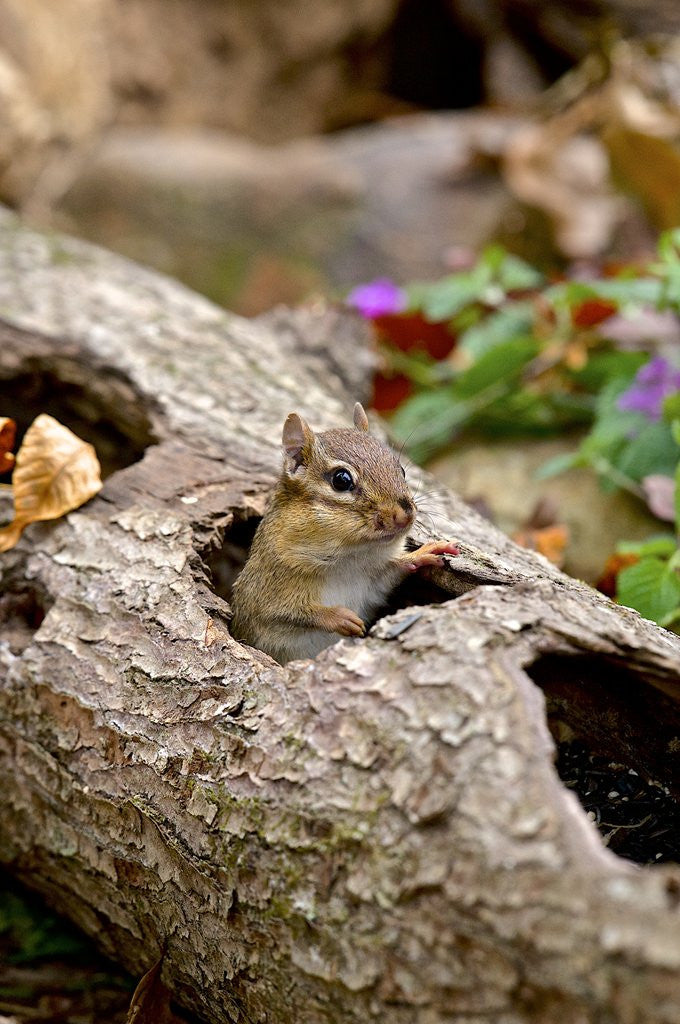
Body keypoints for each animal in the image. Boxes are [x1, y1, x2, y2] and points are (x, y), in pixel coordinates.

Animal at [229, 403, 459, 664]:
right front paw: (339, 617)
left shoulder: (372, 583)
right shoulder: (265, 594)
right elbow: (289, 612)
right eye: (341, 480)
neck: (350, 560)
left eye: (400, 469)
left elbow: (392, 572)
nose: (405, 515)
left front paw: (422, 553)